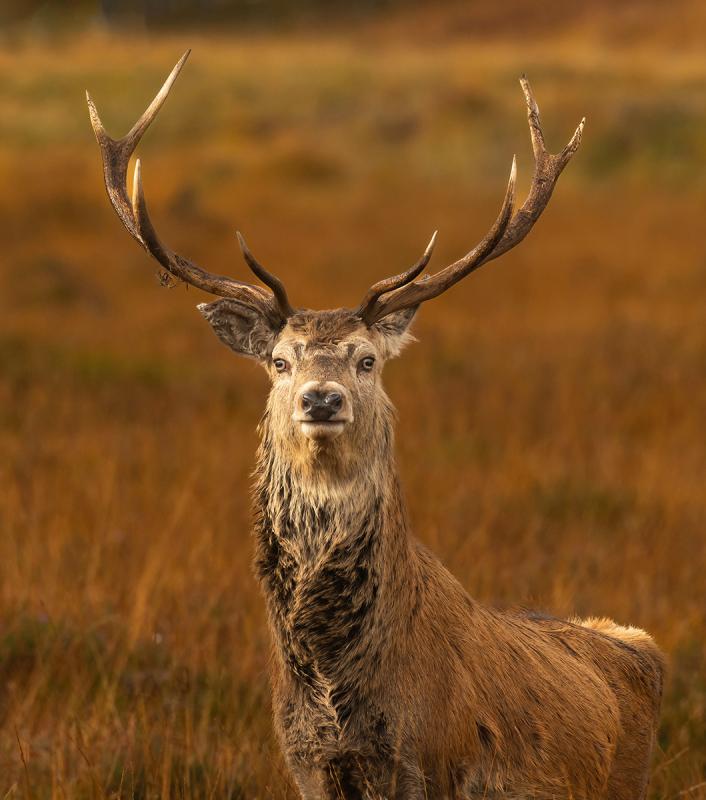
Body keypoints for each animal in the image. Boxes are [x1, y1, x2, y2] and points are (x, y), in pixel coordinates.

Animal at [87, 51, 665, 800]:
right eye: (279, 361)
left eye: (366, 359)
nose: (321, 400)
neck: (344, 691)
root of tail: (642, 649)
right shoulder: (307, 765)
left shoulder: (429, 762)